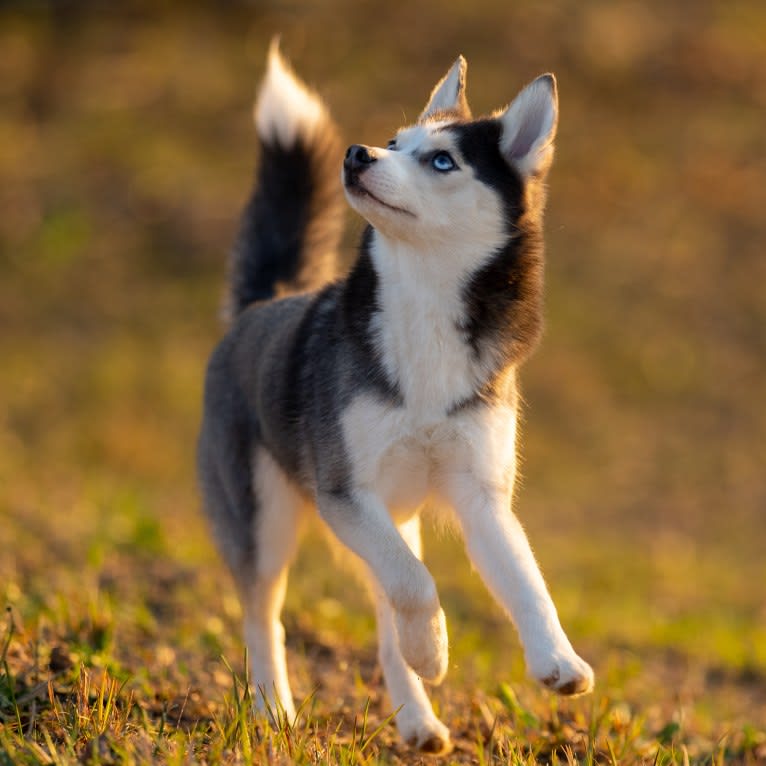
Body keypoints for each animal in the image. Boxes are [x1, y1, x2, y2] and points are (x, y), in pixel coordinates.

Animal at [198, 43, 592, 756]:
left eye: (441, 160)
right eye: (392, 141)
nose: (357, 153)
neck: (425, 308)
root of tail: (262, 305)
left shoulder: (481, 497)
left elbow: (528, 583)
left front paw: (557, 661)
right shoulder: (344, 494)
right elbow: (415, 583)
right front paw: (434, 652)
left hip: (390, 519)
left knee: (385, 610)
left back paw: (416, 718)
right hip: (265, 520)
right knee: (266, 618)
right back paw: (275, 710)